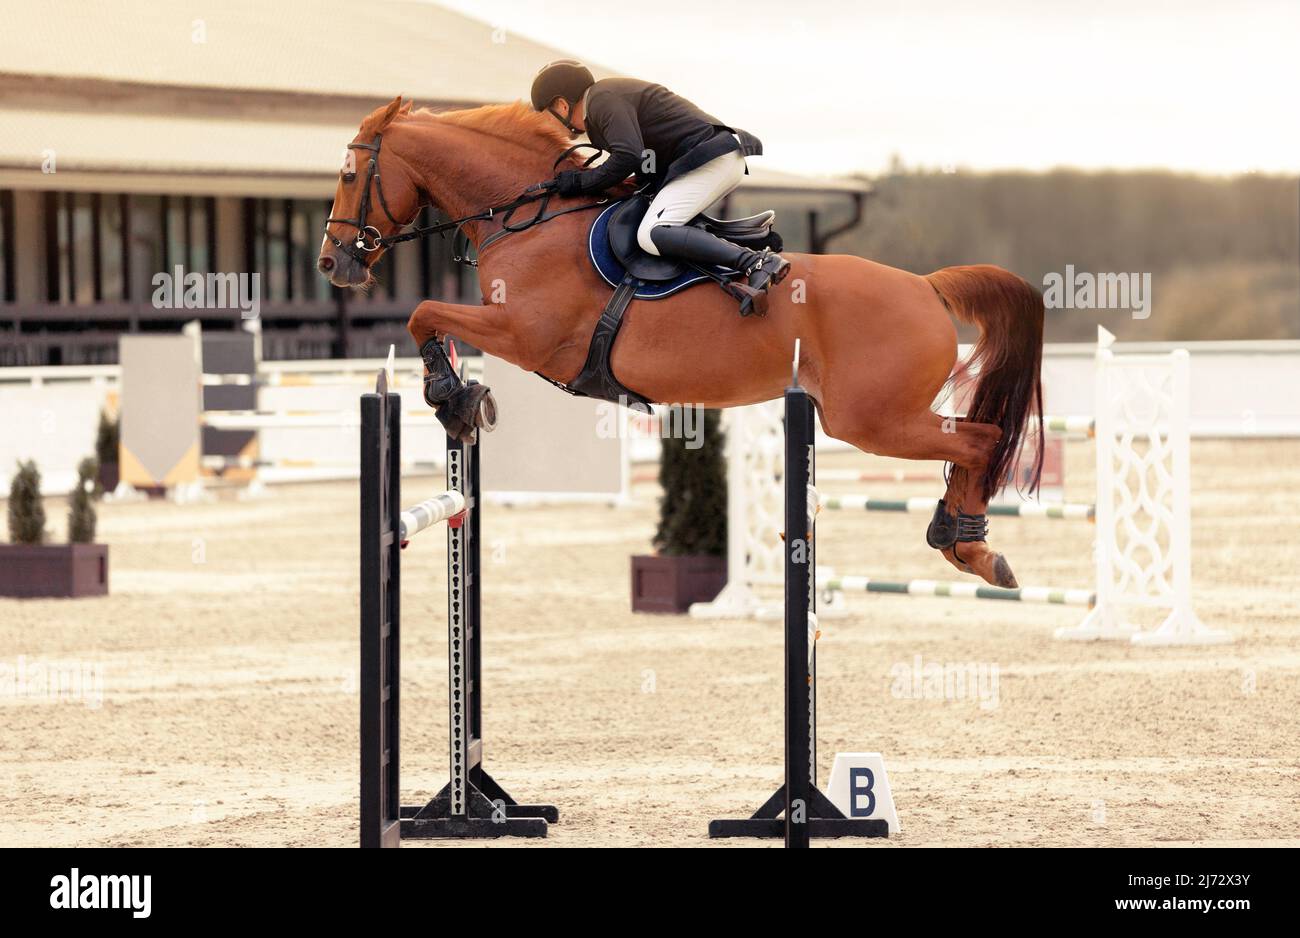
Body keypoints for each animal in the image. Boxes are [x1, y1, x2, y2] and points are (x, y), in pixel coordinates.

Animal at [318, 96, 1044, 590]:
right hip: (875, 416)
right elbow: (430, 318)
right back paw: (959, 539)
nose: (332, 263)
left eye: (350, 176)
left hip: (871, 419)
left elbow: (423, 313)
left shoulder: (524, 334)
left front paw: (451, 397)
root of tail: (928, 286)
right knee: (971, 443)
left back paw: (972, 548)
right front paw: (462, 399)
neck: (525, 219)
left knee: (978, 441)